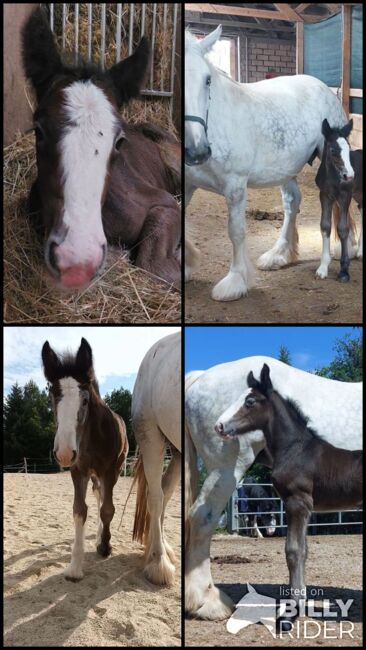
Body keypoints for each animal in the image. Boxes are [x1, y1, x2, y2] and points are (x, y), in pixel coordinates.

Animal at [184, 24, 354, 298]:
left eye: (207, 80)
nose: (196, 152)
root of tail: (325, 89)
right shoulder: (188, 184)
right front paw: (186, 263)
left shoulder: (235, 186)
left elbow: (236, 231)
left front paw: (235, 281)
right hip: (285, 171)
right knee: (292, 202)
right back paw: (279, 255)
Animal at [186, 356, 364, 616]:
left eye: (249, 401)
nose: (219, 425)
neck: (297, 448)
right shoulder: (298, 503)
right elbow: (298, 550)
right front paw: (297, 601)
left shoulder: (299, 502)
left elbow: (296, 550)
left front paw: (297, 601)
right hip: (225, 469)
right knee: (201, 519)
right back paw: (206, 603)